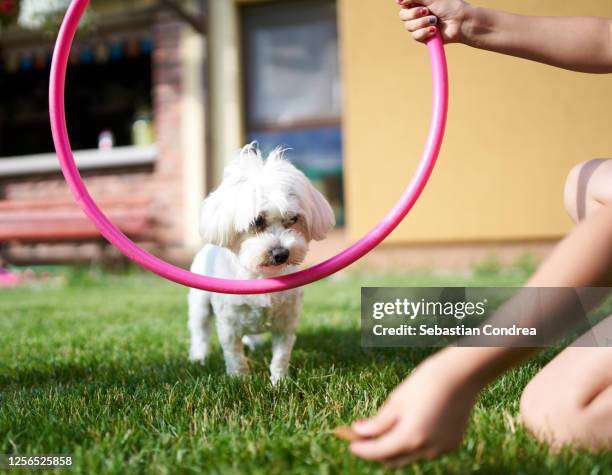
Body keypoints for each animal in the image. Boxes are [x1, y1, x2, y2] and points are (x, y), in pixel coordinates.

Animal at [189, 143, 338, 384]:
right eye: (256, 221)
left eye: (293, 219)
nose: (281, 253)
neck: (261, 276)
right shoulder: (228, 325)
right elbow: (235, 356)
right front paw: (239, 381)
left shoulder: (287, 324)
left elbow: (281, 355)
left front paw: (279, 382)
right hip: (199, 304)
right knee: (199, 331)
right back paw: (199, 357)